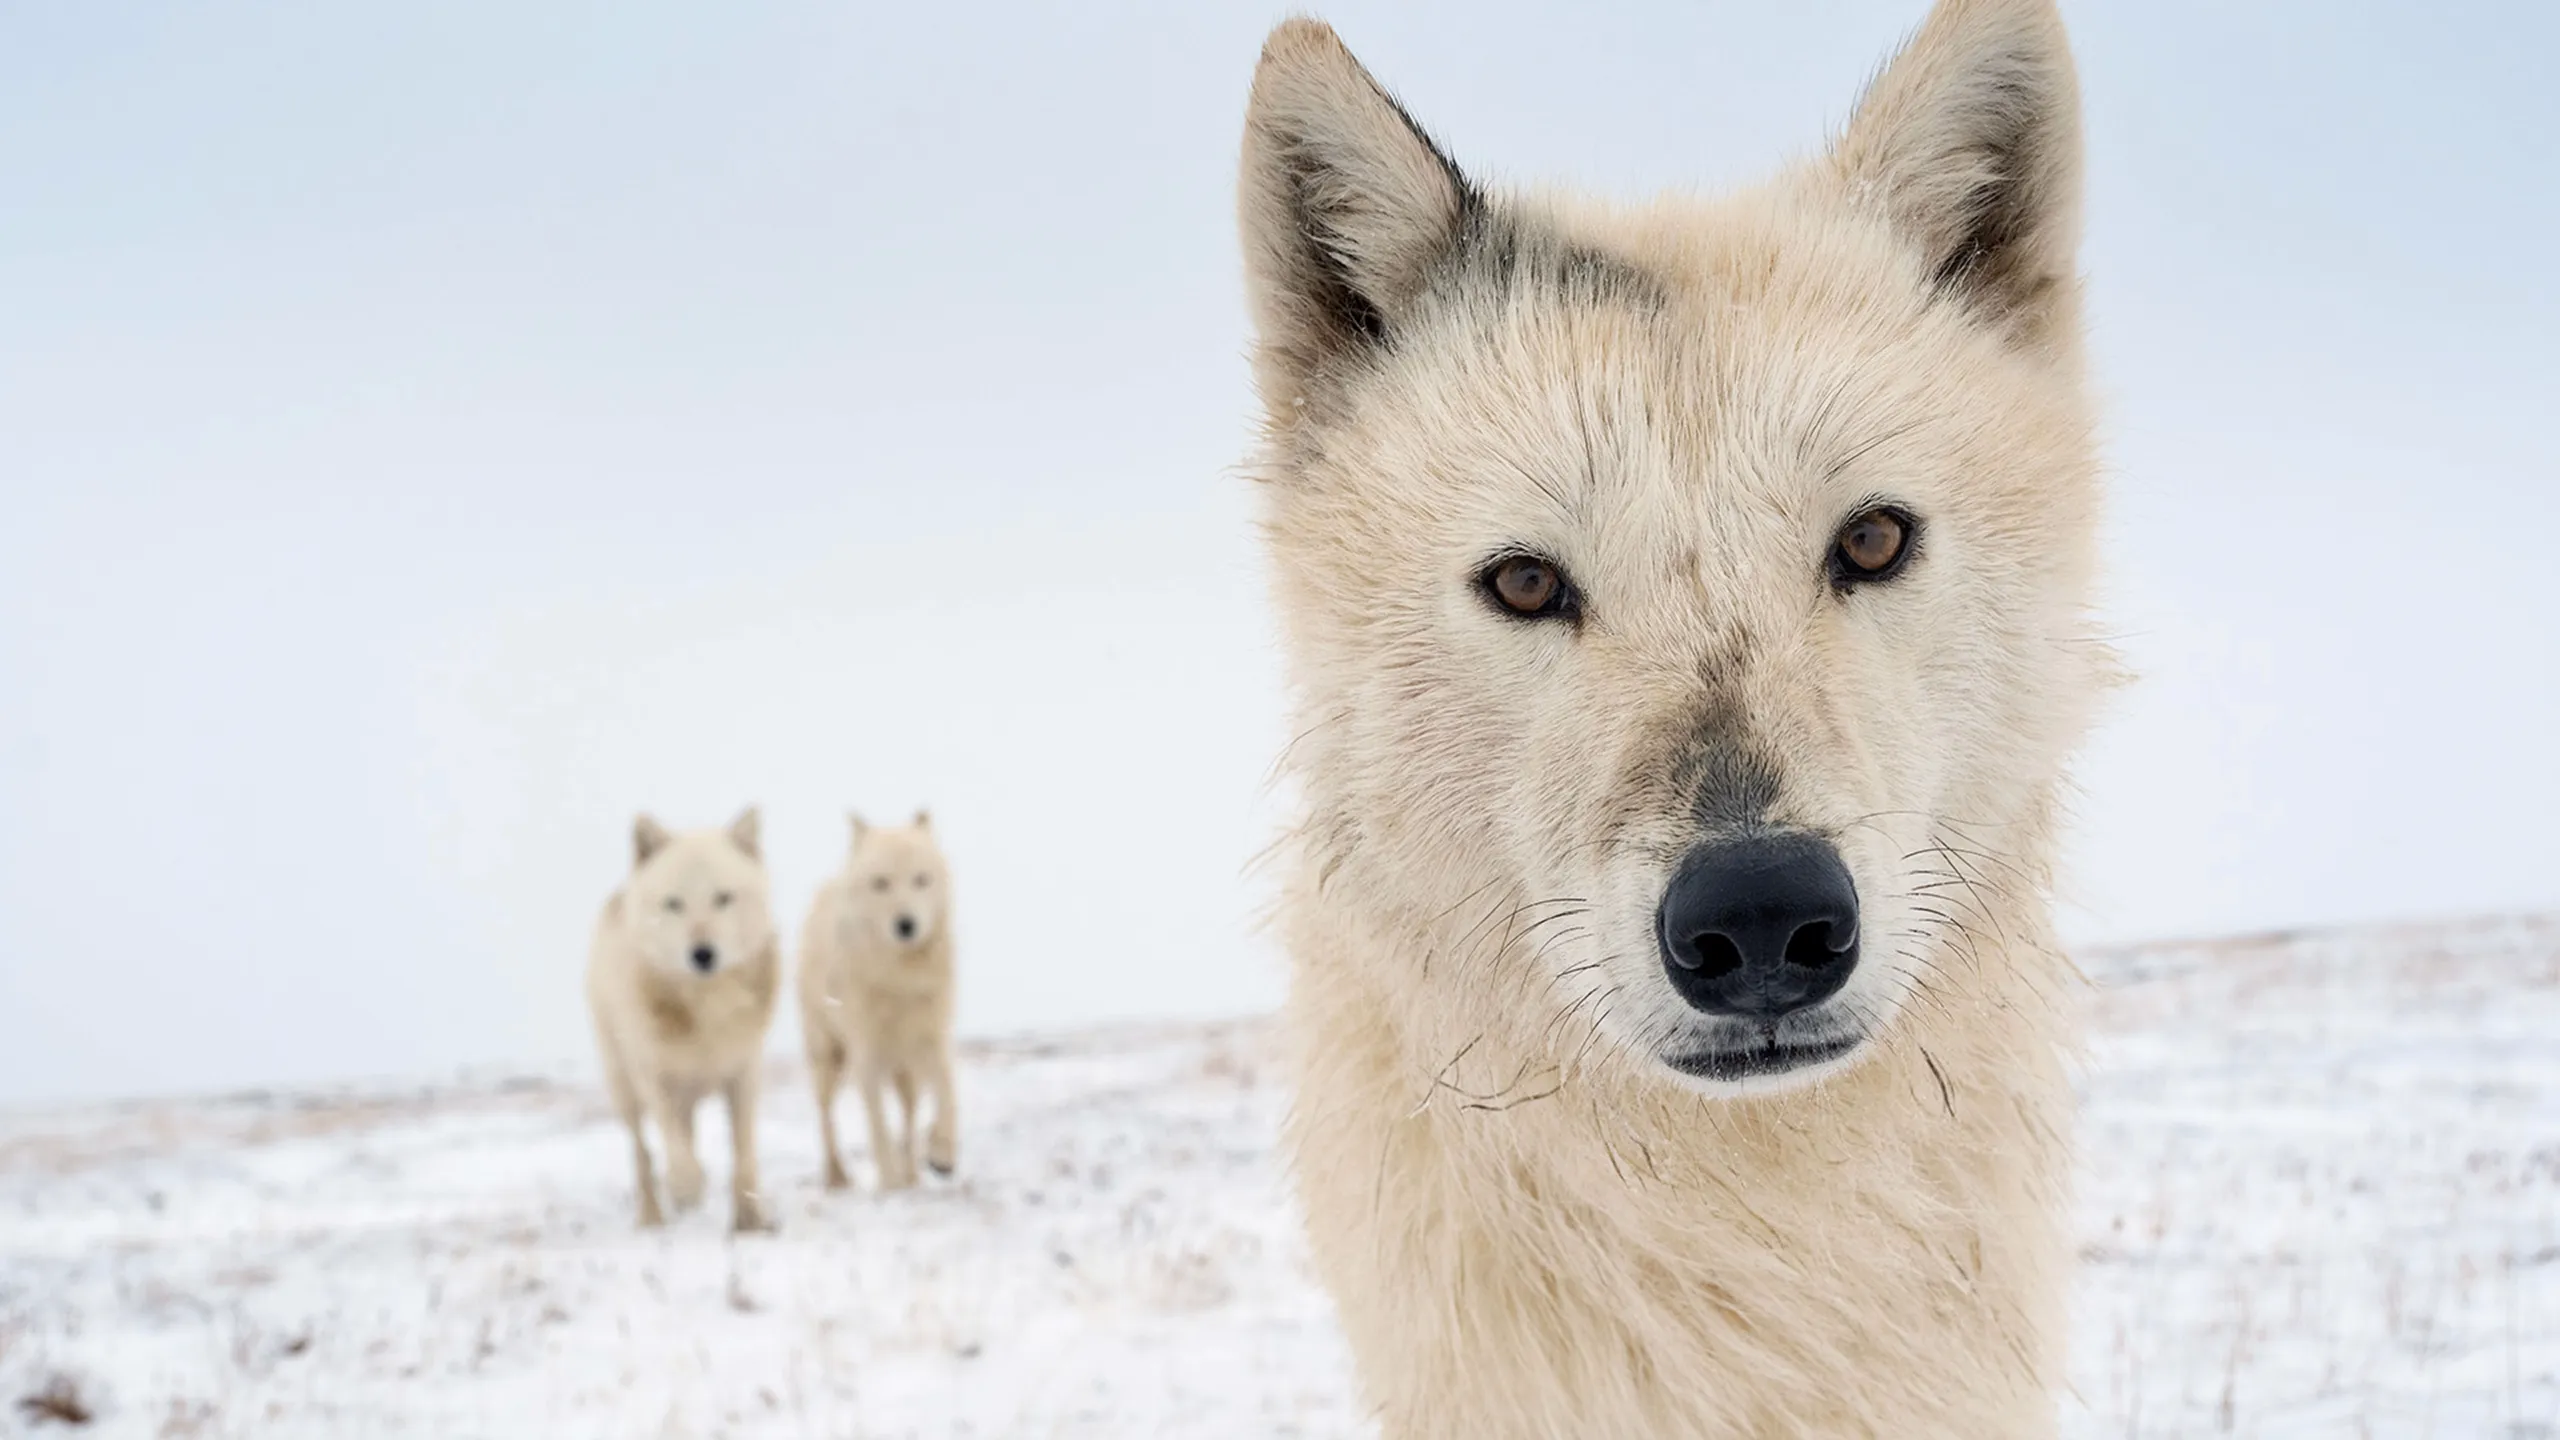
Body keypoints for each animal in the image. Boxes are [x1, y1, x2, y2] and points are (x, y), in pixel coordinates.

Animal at [585, 807, 780, 1233]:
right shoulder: (654, 1077)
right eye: (674, 904)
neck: (705, 1009)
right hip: (623, 1087)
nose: (702, 954)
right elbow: (673, 1147)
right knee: (643, 1153)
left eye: (723, 898)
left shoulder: (745, 1072)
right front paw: (687, 1189)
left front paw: (750, 1221)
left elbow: (744, 1152)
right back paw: (653, 1215)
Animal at [799, 812, 959, 1192]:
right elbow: (878, 1125)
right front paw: (890, 1182)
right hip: (827, 1056)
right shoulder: (867, 1054)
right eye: (881, 883)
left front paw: (942, 1155)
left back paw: (913, 1172)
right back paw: (837, 1177)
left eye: (920, 880)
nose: (906, 924)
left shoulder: (931, 1040)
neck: (898, 978)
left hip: (906, 1071)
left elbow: (948, 1094)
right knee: (825, 1116)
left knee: (910, 1113)